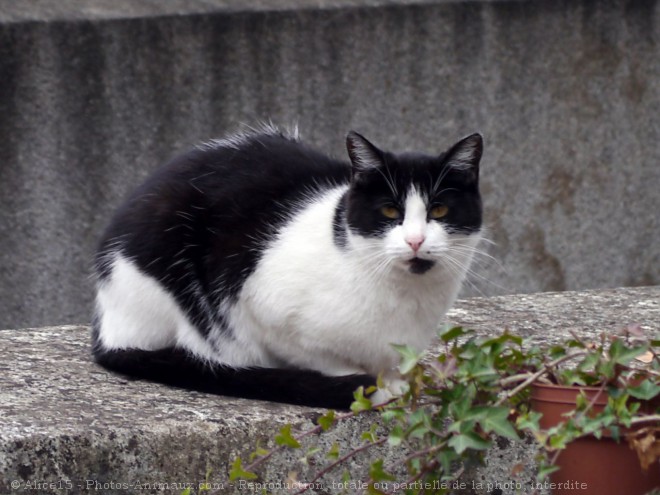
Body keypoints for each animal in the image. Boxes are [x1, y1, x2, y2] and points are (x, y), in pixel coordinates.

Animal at [91, 125, 484, 410]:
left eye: (439, 210)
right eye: (390, 211)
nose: (416, 241)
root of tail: (106, 326)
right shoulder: (264, 311)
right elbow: (324, 359)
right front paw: (368, 385)